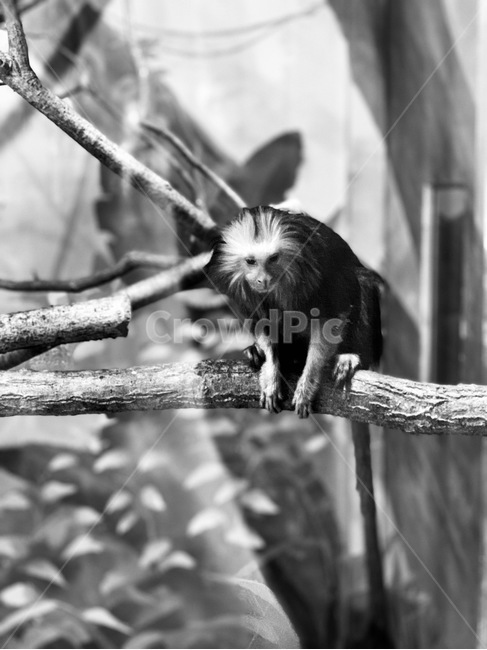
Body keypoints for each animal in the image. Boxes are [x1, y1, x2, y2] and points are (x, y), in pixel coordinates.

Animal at [205, 205, 383, 418]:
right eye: (250, 261)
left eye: (273, 259)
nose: (263, 279)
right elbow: (263, 323)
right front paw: (270, 373)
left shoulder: (320, 274)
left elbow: (329, 321)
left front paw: (307, 385)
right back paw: (258, 352)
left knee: (363, 282)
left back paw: (350, 357)